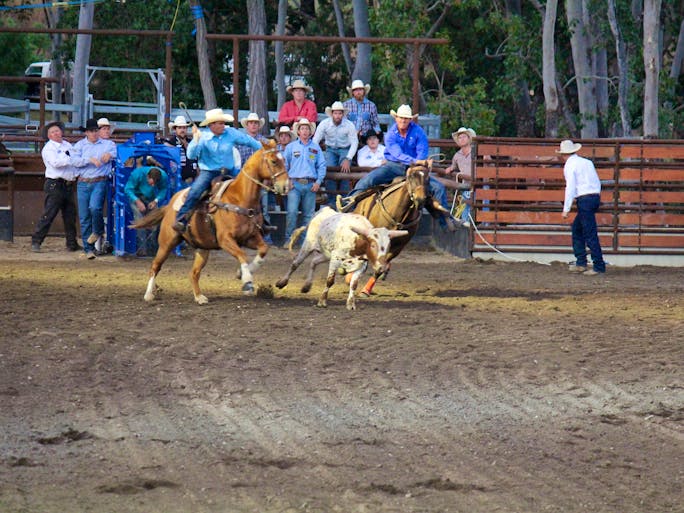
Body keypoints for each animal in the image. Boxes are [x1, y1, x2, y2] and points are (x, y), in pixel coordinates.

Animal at [132, 138, 288, 302]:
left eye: (283, 160)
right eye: (274, 161)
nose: (286, 186)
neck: (239, 198)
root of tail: (169, 206)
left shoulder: (249, 237)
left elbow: (263, 249)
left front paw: (242, 273)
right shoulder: (225, 240)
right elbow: (242, 255)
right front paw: (247, 281)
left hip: (203, 248)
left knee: (194, 273)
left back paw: (199, 297)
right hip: (166, 242)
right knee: (155, 266)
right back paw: (149, 294)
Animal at [348, 160, 428, 296]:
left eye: (428, 178)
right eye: (411, 177)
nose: (420, 199)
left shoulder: (398, 247)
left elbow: (381, 266)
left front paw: (366, 290)